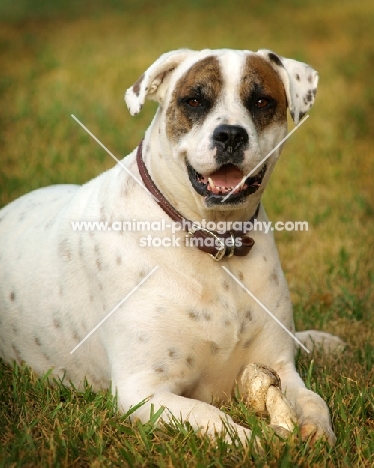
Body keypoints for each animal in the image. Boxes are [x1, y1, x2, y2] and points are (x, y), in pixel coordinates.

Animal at [0, 48, 342, 446]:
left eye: (261, 101)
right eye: (194, 100)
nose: (230, 134)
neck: (215, 243)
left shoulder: (279, 366)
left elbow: (314, 400)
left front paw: (316, 431)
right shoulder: (143, 392)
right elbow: (214, 418)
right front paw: (260, 443)